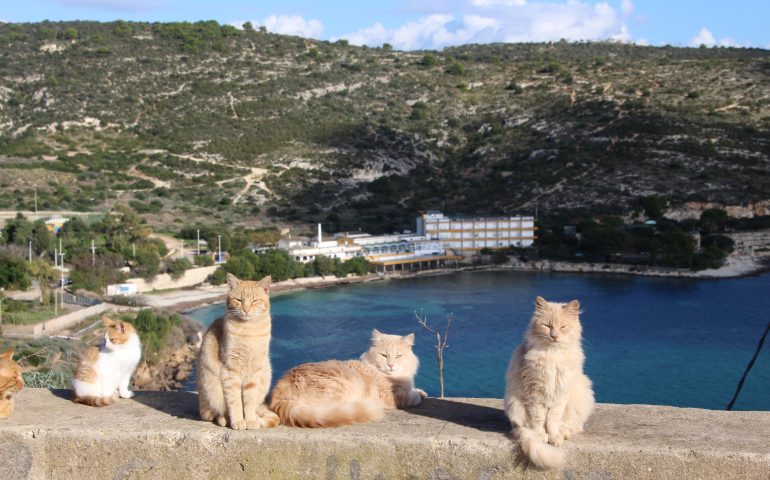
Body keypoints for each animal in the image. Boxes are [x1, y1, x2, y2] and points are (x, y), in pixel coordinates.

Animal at [196, 274, 280, 432]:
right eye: (239, 300)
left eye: (254, 301)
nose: (246, 310)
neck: (249, 331)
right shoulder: (231, 370)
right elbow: (235, 401)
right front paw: (238, 421)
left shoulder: (254, 371)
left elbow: (249, 400)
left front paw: (250, 420)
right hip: (210, 386)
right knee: (215, 413)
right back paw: (224, 419)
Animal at [268, 330, 426, 428]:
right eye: (384, 355)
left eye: (399, 356)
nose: (391, 365)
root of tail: (281, 394)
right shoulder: (391, 396)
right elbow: (412, 397)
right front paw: (418, 395)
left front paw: (421, 392)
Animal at [504, 296, 592, 468]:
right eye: (547, 326)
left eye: (563, 327)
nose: (554, 336)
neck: (553, 355)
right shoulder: (535, 392)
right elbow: (539, 419)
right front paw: (542, 436)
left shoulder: (561, 394)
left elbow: (552, 420)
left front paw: (554, 437)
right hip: (515, 408)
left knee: (572, 425)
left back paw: (563, 434)